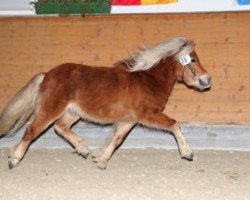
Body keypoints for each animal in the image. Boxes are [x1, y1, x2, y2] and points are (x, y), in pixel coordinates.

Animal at [0, 37, 211, 169]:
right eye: (193, 60)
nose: (207, 80)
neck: (149, 80)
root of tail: (46, 75)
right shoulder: (148, 115)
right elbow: (174, 125)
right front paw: (187, 153)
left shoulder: (129, 121)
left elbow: (117, 140)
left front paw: (101, 160)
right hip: (52, 109)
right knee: (32, 130)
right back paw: (14, 160)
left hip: (73, 112)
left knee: (60, 127)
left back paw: (83, 149)